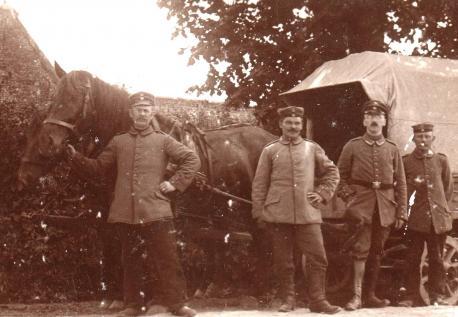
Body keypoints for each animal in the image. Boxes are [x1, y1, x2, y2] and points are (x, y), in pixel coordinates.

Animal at [17, 68, 276, 298]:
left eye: (75, 98)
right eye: (55, 99)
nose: (49, 143)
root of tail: (271, 138)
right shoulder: (110, 211)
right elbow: (113, 246)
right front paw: (118, 295)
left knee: (262, 239)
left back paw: (266, 290)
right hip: (217, 208)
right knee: (224, 241)